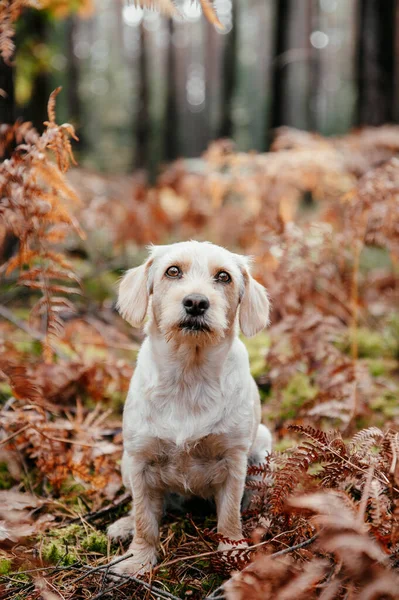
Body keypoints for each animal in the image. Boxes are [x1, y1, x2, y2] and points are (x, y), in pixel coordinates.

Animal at [108, 241, 274, 576]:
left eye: (223, 276)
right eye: (173, 271)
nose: (196, 302)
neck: (189, 374)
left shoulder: (233, 462)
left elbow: (229, 516)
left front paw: (233, 551)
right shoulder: (140, 461)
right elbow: (144, 519)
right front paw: (138, 559)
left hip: (262, 451)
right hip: (125, 462)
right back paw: (123, 526)